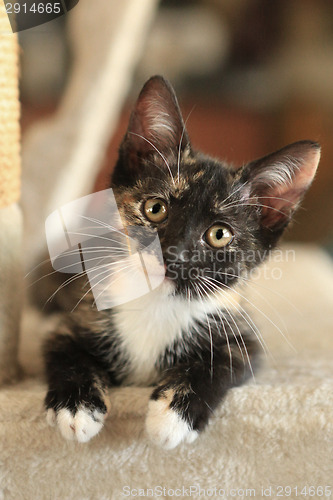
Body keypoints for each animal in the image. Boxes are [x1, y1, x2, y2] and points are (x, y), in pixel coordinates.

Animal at [42, 75, 320, 450]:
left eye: (219, 234)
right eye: (155, 208)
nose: (172, 253)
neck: (157, 304)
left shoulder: (241, 335)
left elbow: (221, 364)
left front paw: (173, 416)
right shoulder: (74, 319)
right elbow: (65, 352)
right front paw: (75, 408)